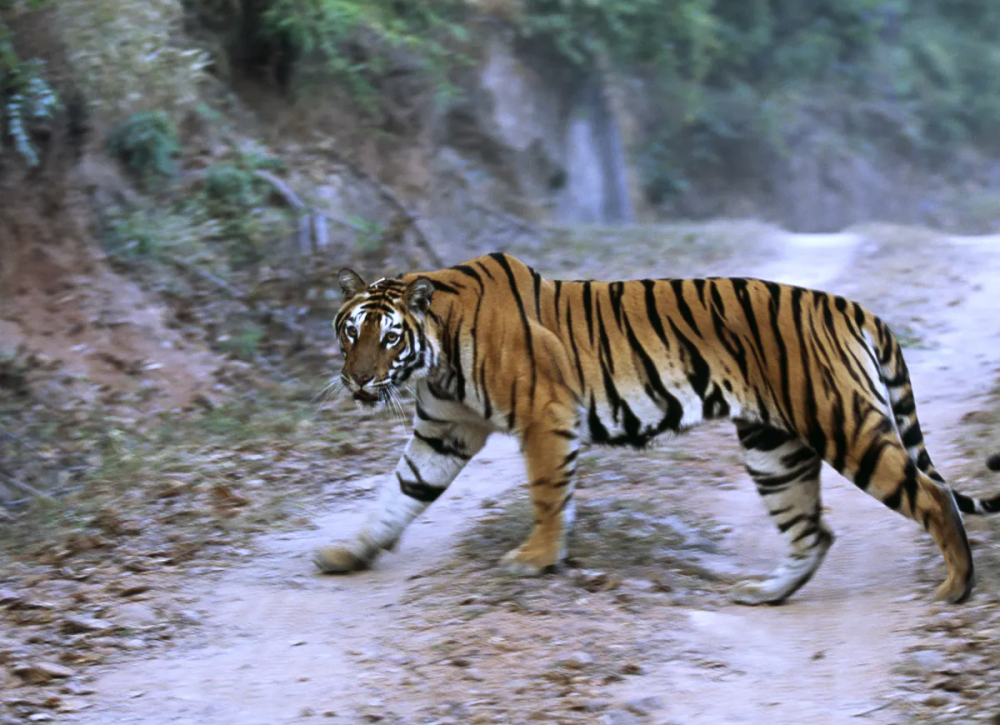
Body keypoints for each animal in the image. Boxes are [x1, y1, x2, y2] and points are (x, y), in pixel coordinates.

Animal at [316, 252, 1000, 604]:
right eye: (351, 332)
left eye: (389, 337)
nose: (357, 380)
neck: (435, 359)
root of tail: (844, 304)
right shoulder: (443, 433)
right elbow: (397, 496)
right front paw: (348, 553)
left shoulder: (545, 416)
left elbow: (547, 496)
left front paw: (535, 560)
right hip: (772, 446)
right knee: (814, 531)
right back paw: (766, 594)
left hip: (840, 421)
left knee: (932, 495)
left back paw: (955, 588)